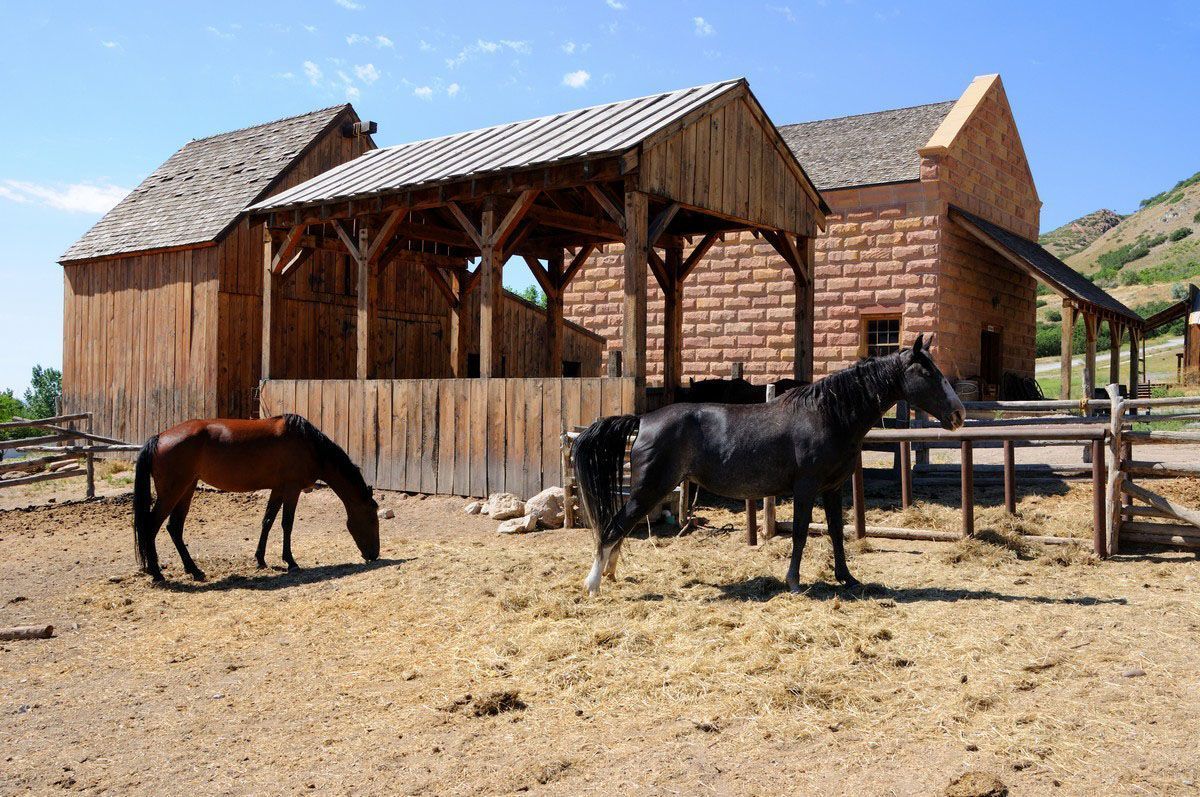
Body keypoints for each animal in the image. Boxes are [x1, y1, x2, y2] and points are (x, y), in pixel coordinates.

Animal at [132, 414, 380, 582]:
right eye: (372, 517)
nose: (374, 554)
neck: (308, 444)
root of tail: (159, 437)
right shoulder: (292, 489)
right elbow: (286, 524)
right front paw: (291, 562)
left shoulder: (278, 489)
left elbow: (267, 522)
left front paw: (261, 559)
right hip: (173, 492)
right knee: (151, 526)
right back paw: (157, 573)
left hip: (187, 489)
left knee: (174, 527)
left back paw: (194, 570)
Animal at [573, 334, 965, 596]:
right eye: (927, 373)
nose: (959, 414)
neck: (827, 414)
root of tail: (643, 420)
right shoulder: (805, 488)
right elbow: (801, 533)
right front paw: (794, 582)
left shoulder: (833, 488)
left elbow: (836, 532)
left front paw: (847, 578)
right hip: (649, 488)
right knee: (613, 527)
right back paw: (593, 584)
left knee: (619, 529)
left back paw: (610, 576)